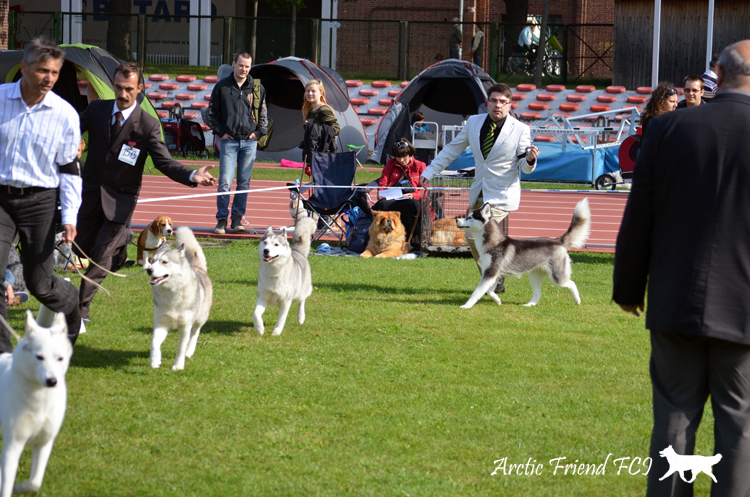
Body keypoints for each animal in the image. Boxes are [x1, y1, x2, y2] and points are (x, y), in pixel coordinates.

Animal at [0, 311, 72, 497]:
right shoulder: (14, 445)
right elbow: (6, 485)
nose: (52, 381)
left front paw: (19, 488)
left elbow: (35, 482)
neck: (40, 400)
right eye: (39, 357)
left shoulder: (44, 443)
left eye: (60, 358)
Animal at [146, 227, 212, 370]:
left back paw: (190, 350)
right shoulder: (161, 323)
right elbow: (154, 343)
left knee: (195, 333)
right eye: (152, 261)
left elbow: (181, 348)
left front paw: (178, 365)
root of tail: (197, 268)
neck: (172, 293)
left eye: (164, 262)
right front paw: (155, 360)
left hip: (200, 318)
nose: (149, 270)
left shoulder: (185, 326)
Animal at [456, 198, 591, 308]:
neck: (494, 243)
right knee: (538, 293)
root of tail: (558, 240)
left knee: (571, 283)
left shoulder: (490, 273)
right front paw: (498, 300)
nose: (457, 219)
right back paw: (530, 304)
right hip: (534, 276)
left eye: (470, 217)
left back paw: (577, 300)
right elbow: (489, 291)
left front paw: (466, 306)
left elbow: (477, 292)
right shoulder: (494, 274)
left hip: (556, 277)